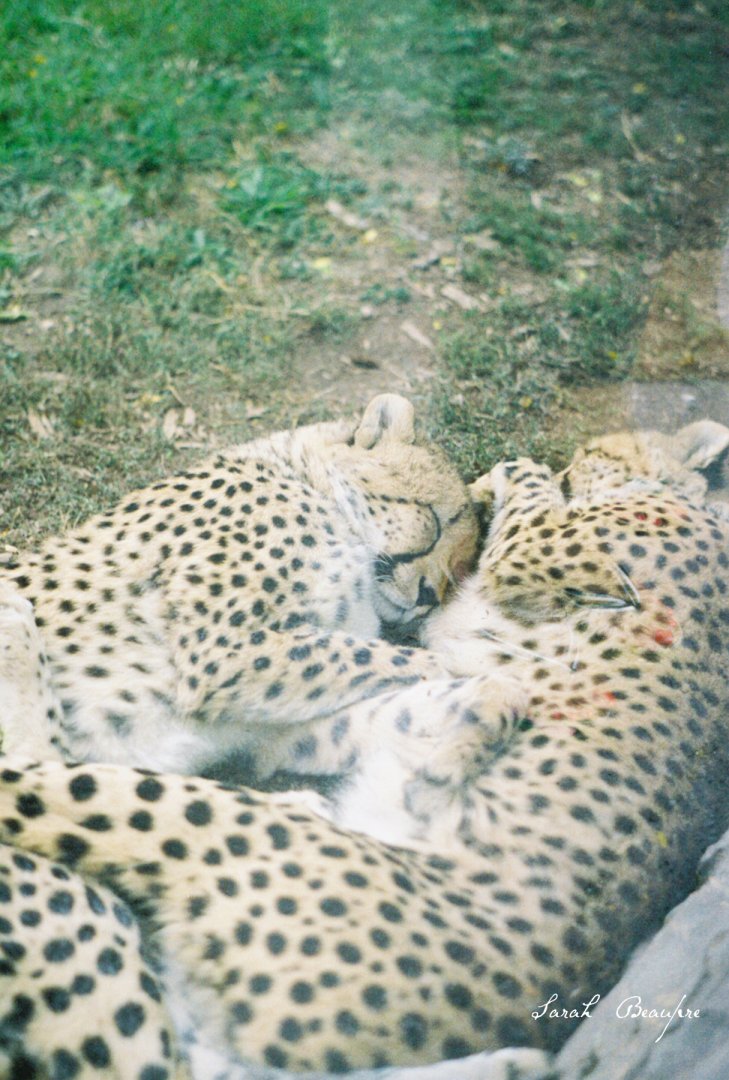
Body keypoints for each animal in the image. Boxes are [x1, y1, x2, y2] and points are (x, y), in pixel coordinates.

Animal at [0, 392, 478, 779]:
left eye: (459, 567)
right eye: (435, 522)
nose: (428, 596)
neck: (306, 481)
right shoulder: (222, 650)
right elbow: (411, 661)